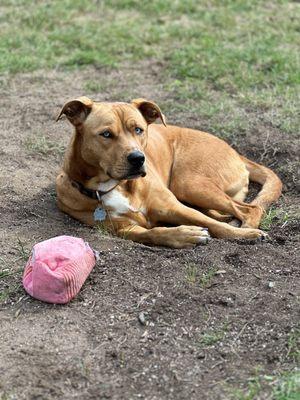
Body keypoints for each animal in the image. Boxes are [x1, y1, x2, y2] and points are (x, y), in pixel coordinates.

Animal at [55, 96, 282, 247]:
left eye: (138, 129)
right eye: (106, 134)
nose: (138, 159)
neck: (114, 186)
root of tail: (236, 152)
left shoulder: (175, 207)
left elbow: (212, 224)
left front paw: (244, 235)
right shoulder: (124, 229)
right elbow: (153, 232)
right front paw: (185, 235)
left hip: (189, 185)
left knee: (249, 209)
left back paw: (245, 228)